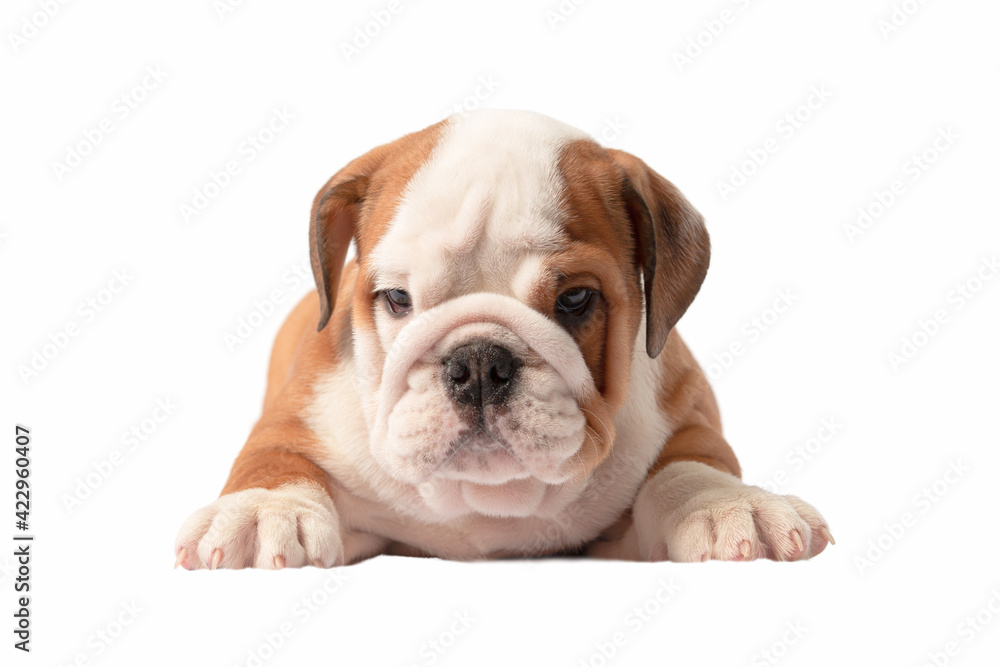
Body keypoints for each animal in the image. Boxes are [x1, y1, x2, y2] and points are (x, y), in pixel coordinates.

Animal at [176, 109, 832, 568]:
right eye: (397, 299)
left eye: (575, 300)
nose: (477, 363)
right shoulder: (302, 412)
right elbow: (274, 457)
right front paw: (261, 511)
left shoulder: (683, 406)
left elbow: (694, 459)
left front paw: (730, 504)